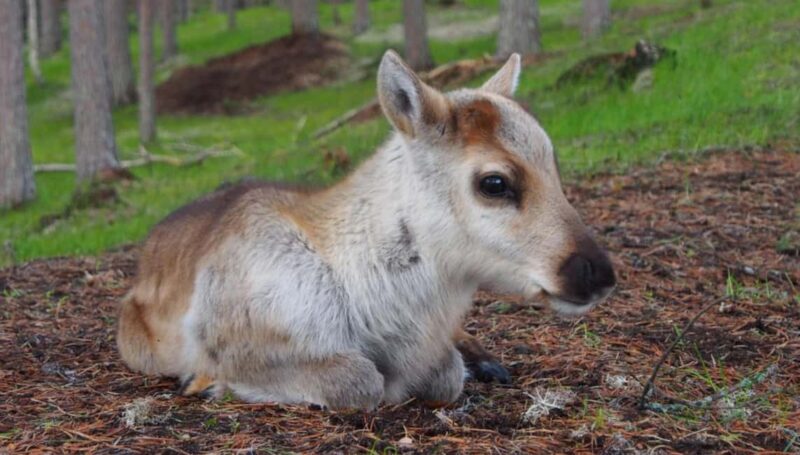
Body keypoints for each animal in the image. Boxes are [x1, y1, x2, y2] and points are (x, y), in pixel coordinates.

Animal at [117, 51, 616, 410]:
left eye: (554, 166)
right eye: (494, 182)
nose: (598, 273)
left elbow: (445, 373)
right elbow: (360, 381)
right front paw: (210, 383)